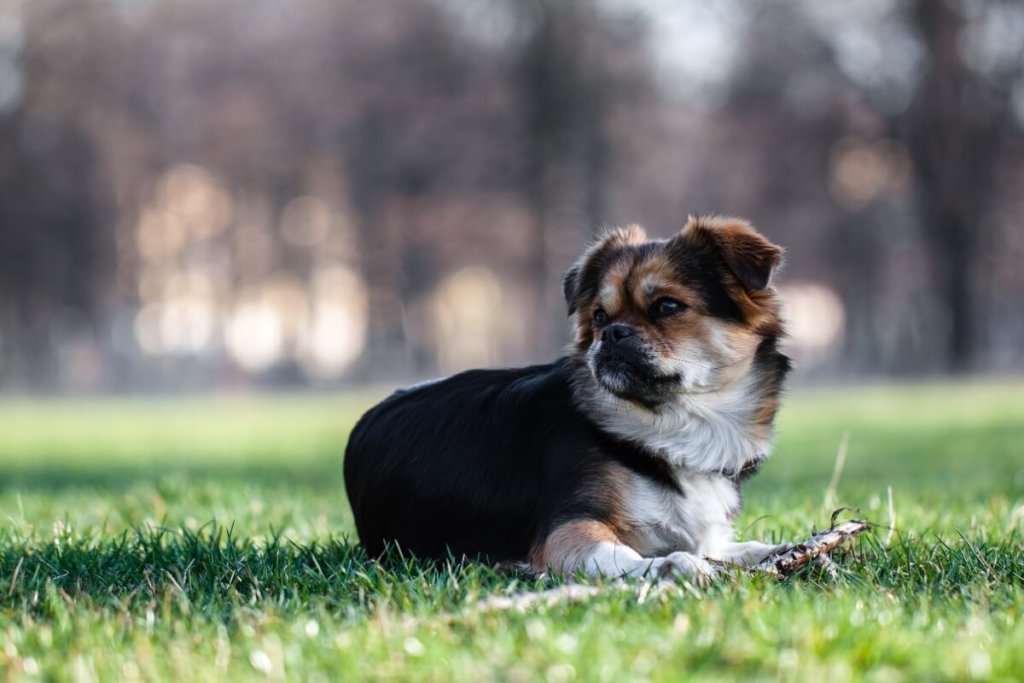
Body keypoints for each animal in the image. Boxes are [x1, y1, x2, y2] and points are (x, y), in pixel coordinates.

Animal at [344, 216, 790, 581]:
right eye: (599, 317)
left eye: (667, 306)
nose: (611, 333)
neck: (671, 429)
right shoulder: (568, 528)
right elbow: (624, 556)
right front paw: (669, 565)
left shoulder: (710, 537)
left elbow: (743, 549)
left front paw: (784, 552)